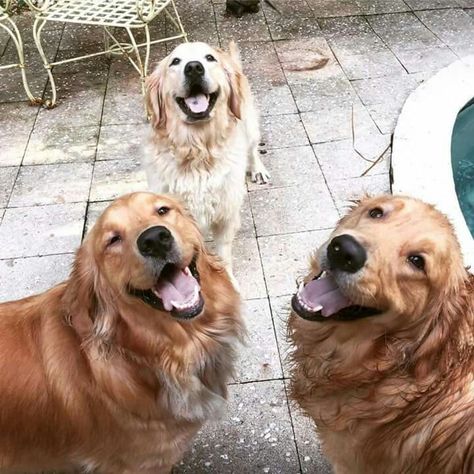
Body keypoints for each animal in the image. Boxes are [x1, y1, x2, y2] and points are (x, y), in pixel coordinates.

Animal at [143, 41, 270, 282]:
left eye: (209, 58)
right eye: (175, 61)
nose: (194, 68)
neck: (198, 152)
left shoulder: (226, 215)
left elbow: (222, 253)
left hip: (249, 124)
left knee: (252, 148)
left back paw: (258, 169)